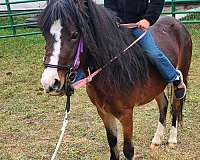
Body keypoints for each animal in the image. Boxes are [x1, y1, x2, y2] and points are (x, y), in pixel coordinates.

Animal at [38, 0, 192, 159]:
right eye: (45, 34)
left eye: (74, 35)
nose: (49, 82)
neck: (112, 69)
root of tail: (177, 23)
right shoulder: (104, 112)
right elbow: (112, 143)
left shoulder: (126, 114)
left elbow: (128, 150)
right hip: (156, 86)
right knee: (163, 104)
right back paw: (156, 140)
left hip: (181, 75)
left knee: (176, 104)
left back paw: (172, 139)